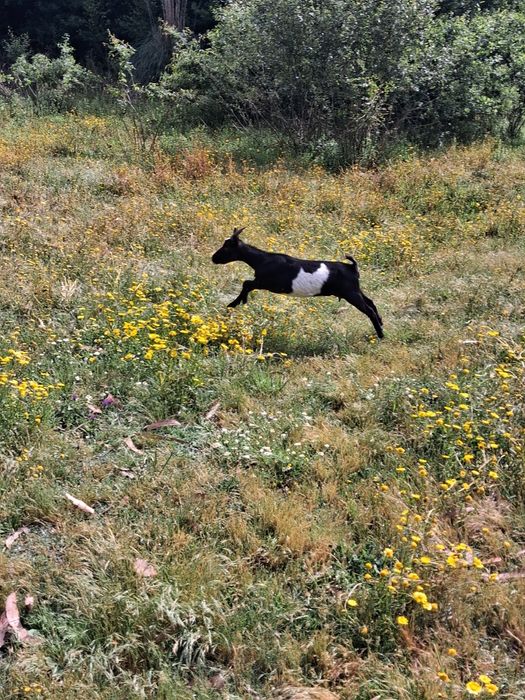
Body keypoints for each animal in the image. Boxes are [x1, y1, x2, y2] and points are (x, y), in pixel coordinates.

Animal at [211, 227, 384, 338]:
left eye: (226, 247)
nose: (213, 258)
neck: (262, 260)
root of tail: (352, 267)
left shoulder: (269, 283)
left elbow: (246, 283)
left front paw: (234, 303)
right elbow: (246, 284)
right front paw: (240, 301)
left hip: (350, 293)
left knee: (369, 309)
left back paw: (381, 334)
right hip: (355, 290)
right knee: (371, 302)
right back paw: (381, 323)